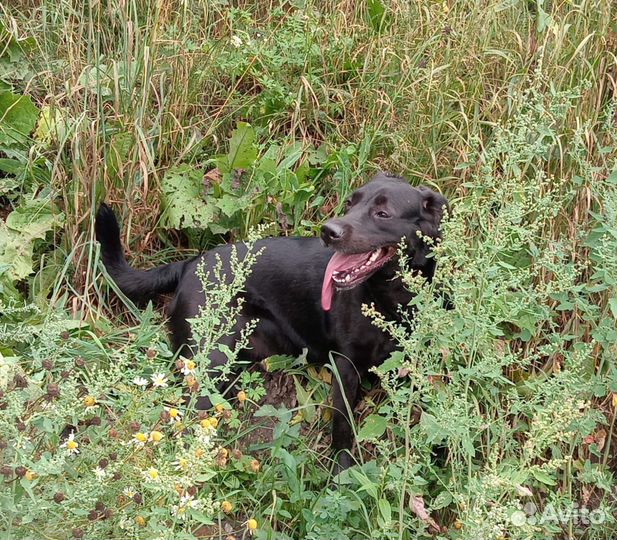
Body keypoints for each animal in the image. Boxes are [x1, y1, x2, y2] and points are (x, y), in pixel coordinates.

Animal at [94, 173, 446, 468]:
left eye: (382, 213)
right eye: (350, 203)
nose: (328, 231)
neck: (390, 299)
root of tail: (189, 265)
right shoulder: (345, 367)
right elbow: (343, 427)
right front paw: (344, 474)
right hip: (207, 364)